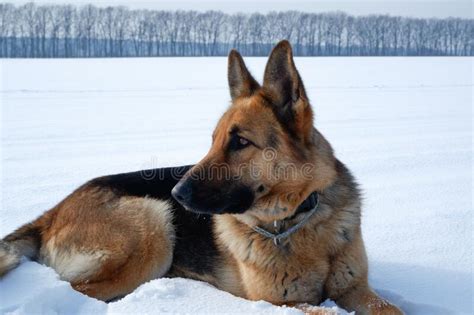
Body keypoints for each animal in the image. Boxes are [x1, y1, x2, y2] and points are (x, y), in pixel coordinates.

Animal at [0, 40, 402, 314]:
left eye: (240, 142)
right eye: (213, 140)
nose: (176, 193)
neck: (299, 221)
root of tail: (52, 213)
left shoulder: (355, 289)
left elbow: (390, 308)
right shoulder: (280, 303)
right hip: (153, 225)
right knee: (80, 292)